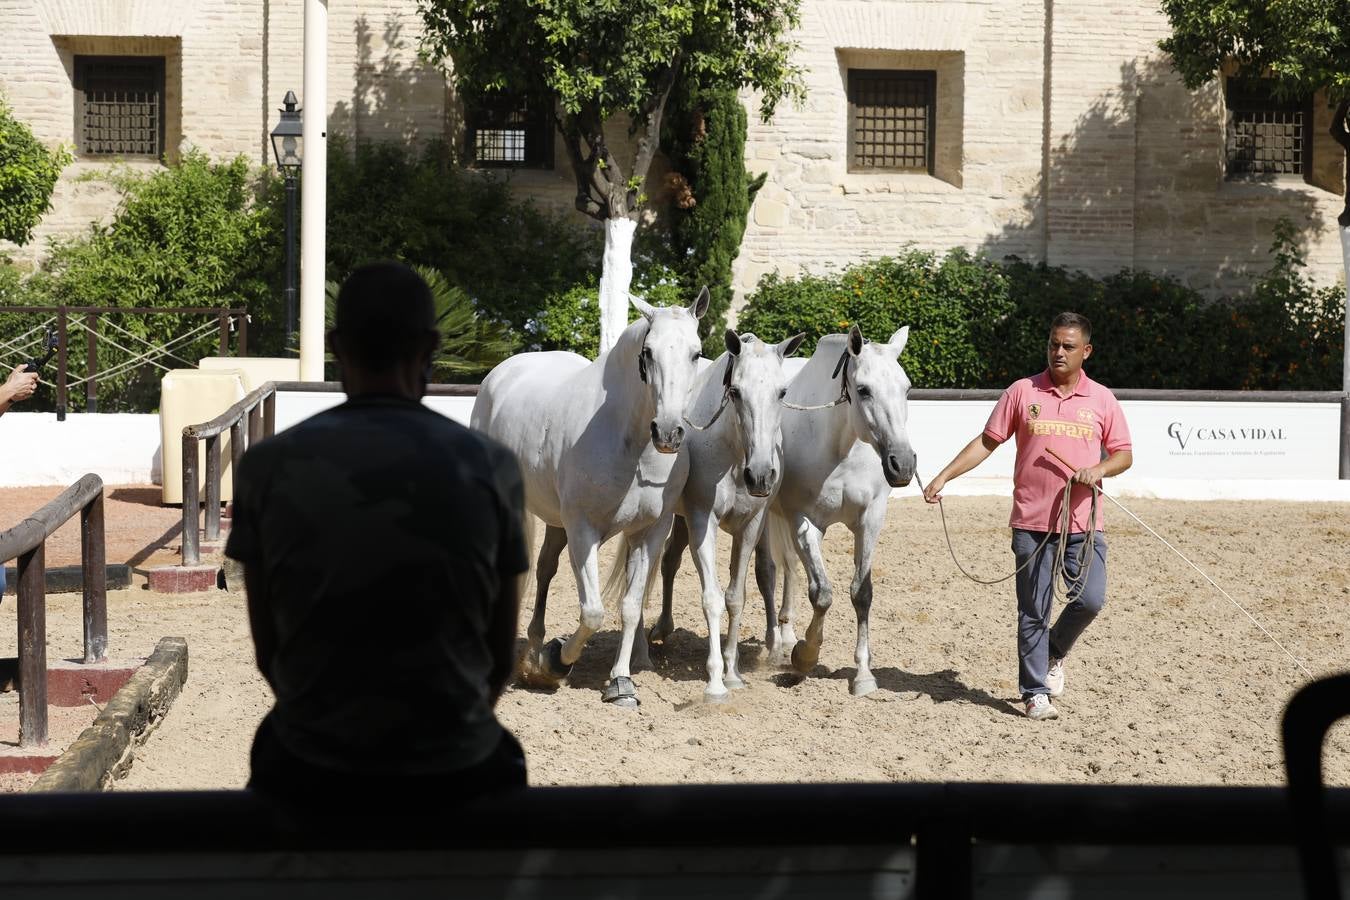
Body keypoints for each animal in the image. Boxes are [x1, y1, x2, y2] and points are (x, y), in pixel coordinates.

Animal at [472, 292, 712, 707]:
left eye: (695, 353)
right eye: (647, 352)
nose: (668, 432)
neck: (630, 442)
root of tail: (498, 375)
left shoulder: (650, 532)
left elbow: (629, 607)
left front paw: (621, 683)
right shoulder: (584, 531)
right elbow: (593, 612)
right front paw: (554, 661)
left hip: (556, 522)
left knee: (545, 570)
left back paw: (534, 645)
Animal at [648, 330, 804, 701]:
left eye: (782, 392)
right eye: (735, 391)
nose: (760, 476)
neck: (734, 451)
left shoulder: (751, 525)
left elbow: (736, 596)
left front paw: (733, 673)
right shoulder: (702, 520)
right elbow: (712, 599)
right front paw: (715, 679)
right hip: (680, 518)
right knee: (668, 562)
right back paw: (661, 629)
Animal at [761, 323, 918, 696]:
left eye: (907, 388)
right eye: (863, 390)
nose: (903, 464)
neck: (840, 449)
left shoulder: (870, 520)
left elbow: (861, 593)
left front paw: (863, 675)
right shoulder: (805, 523)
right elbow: (821, 594)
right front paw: (804, 656)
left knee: (788, 569)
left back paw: (786, 633)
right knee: (769, 571)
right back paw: (777, 645)